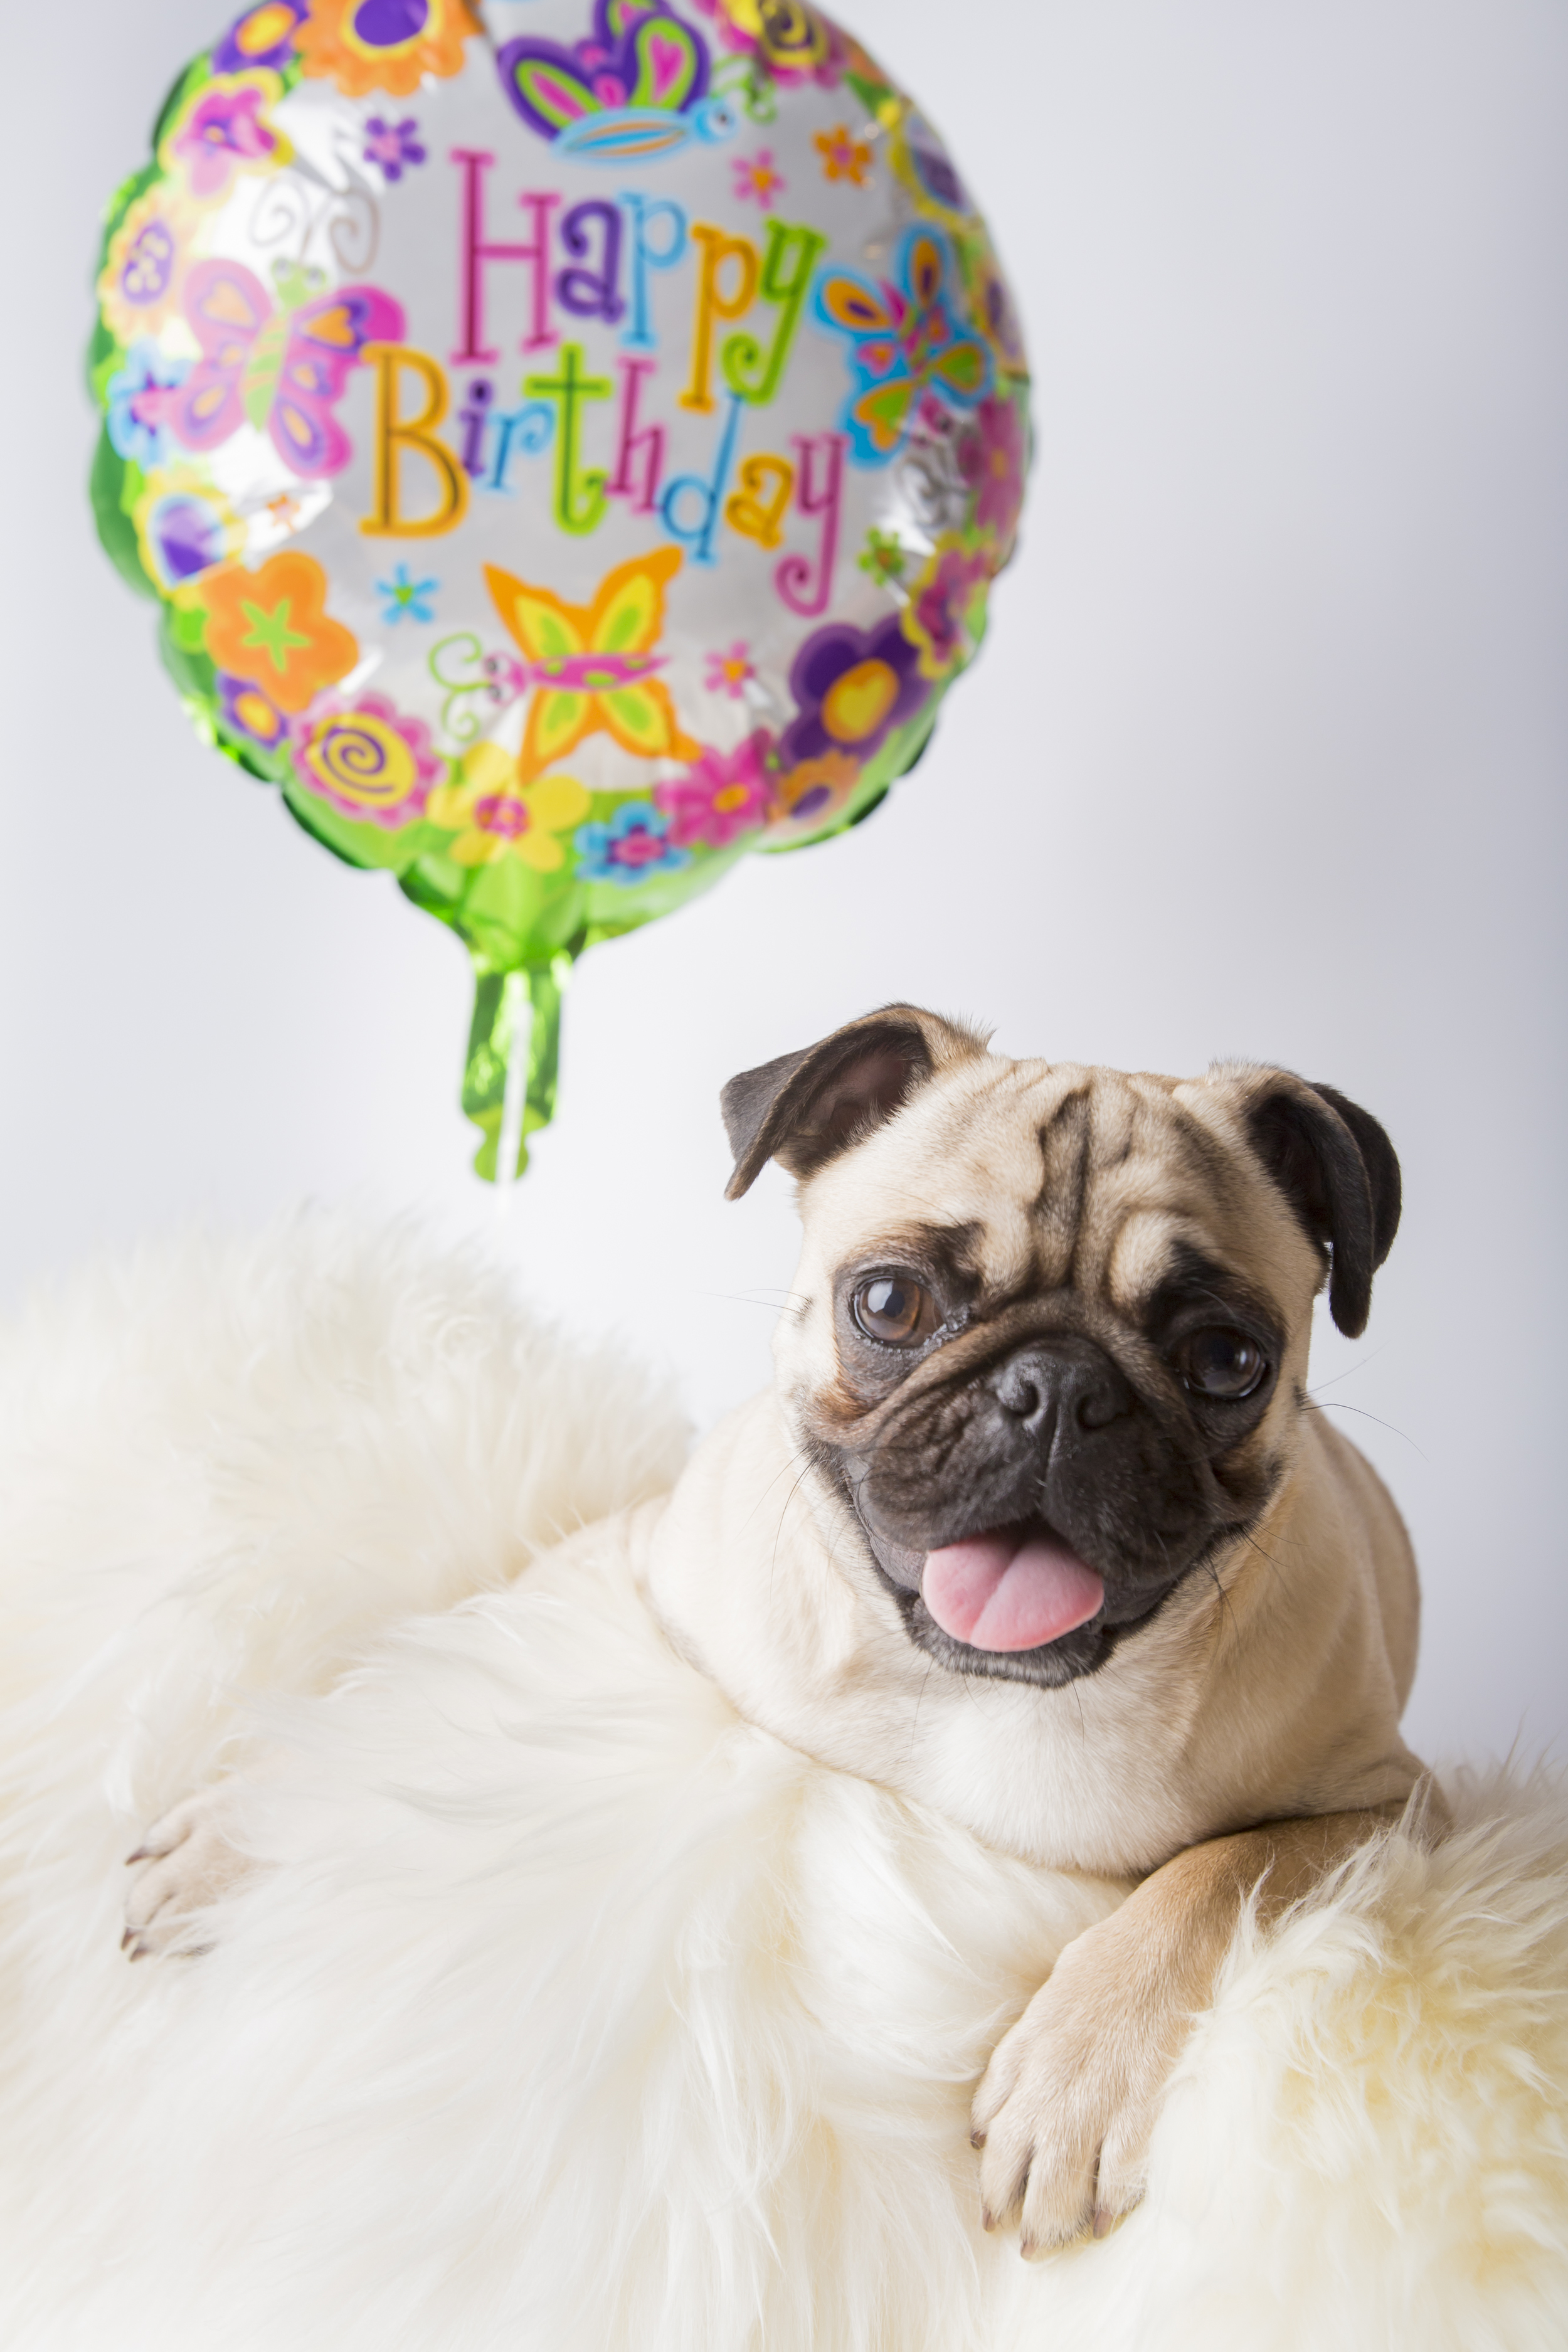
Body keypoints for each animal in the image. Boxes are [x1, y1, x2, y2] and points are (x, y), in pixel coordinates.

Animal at [129, 1011, 1438, 2258]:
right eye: (891, 1303)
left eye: (1226, 1361)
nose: (1058, 1392)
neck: (967, 1690)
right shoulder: (626, 1564)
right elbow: (428, 1682)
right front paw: (238, 1841)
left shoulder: (1388, 1806)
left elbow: (1212, 1878)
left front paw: (1075, 2083)